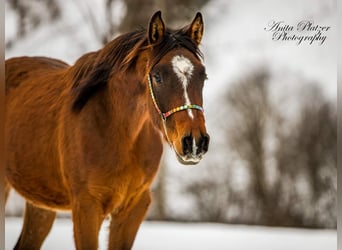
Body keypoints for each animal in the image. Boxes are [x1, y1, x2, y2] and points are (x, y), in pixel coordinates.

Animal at [4, 10, 208, 249]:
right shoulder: (86, 208)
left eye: (203, 76)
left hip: (41, 205)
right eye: (157, 77)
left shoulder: (133, 208)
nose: (194, 142)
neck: (117, 133)